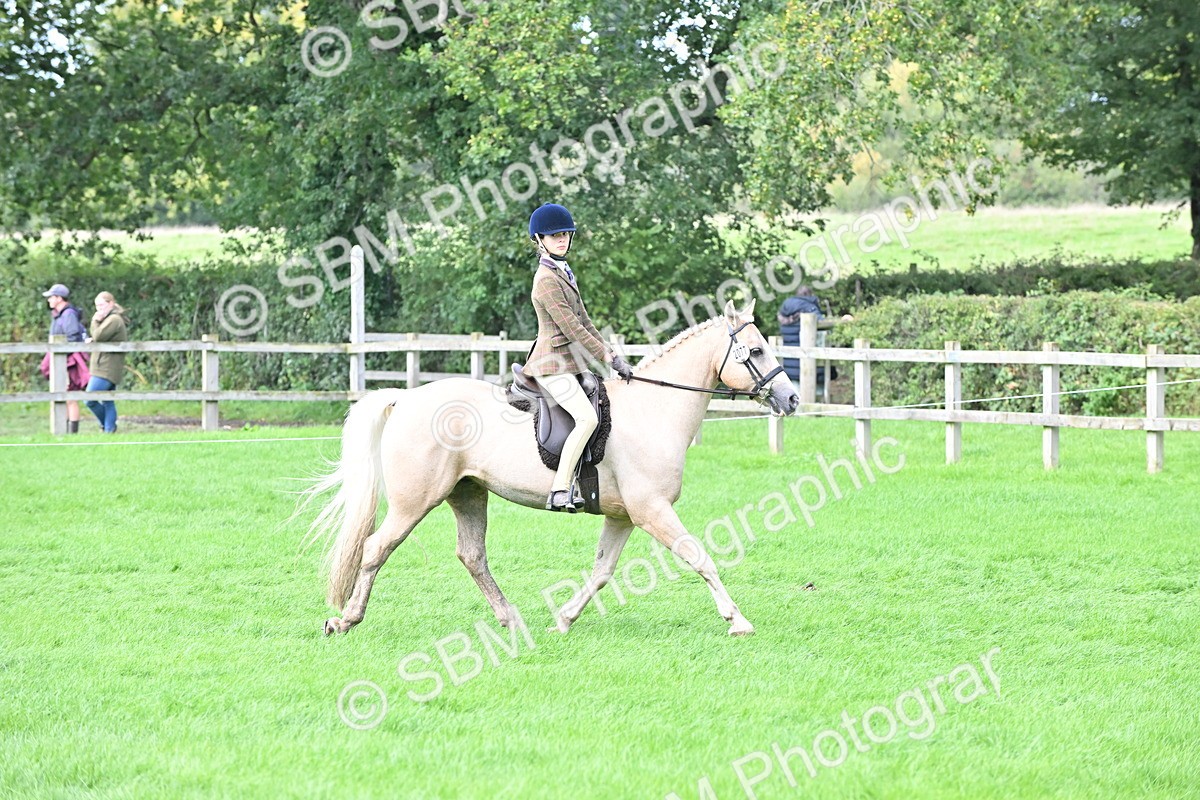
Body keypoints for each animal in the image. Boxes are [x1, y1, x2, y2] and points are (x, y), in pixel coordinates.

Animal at [305, 299, 801, 637]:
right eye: (756, 350)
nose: (792, 398)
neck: (654, 410)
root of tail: (407, 398)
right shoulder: (651, 510)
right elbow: (699, 557)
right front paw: (737, 620)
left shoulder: (623, 516)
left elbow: (602, 572)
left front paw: (563, 619)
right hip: (415, 502)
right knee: (376, 549)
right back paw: (345, 621)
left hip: (468, 493)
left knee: (472, 556)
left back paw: (512, 620)